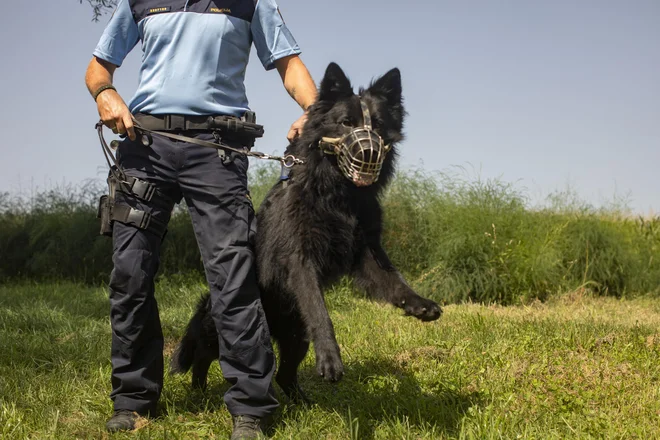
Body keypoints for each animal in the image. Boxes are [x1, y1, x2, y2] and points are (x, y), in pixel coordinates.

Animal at [170, 62, 440, 402]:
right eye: (346, 123)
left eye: (378, 125)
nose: (369, 151)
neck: (337, 194)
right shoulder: (300, 259)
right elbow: (319, 309)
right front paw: (330, 358)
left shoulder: (366, 253)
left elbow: (395, 281)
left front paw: (419, 303)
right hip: (223, 328)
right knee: (205, 353)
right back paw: (199, 389)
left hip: (297, 336)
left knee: (284, 374)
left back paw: (301, 402)